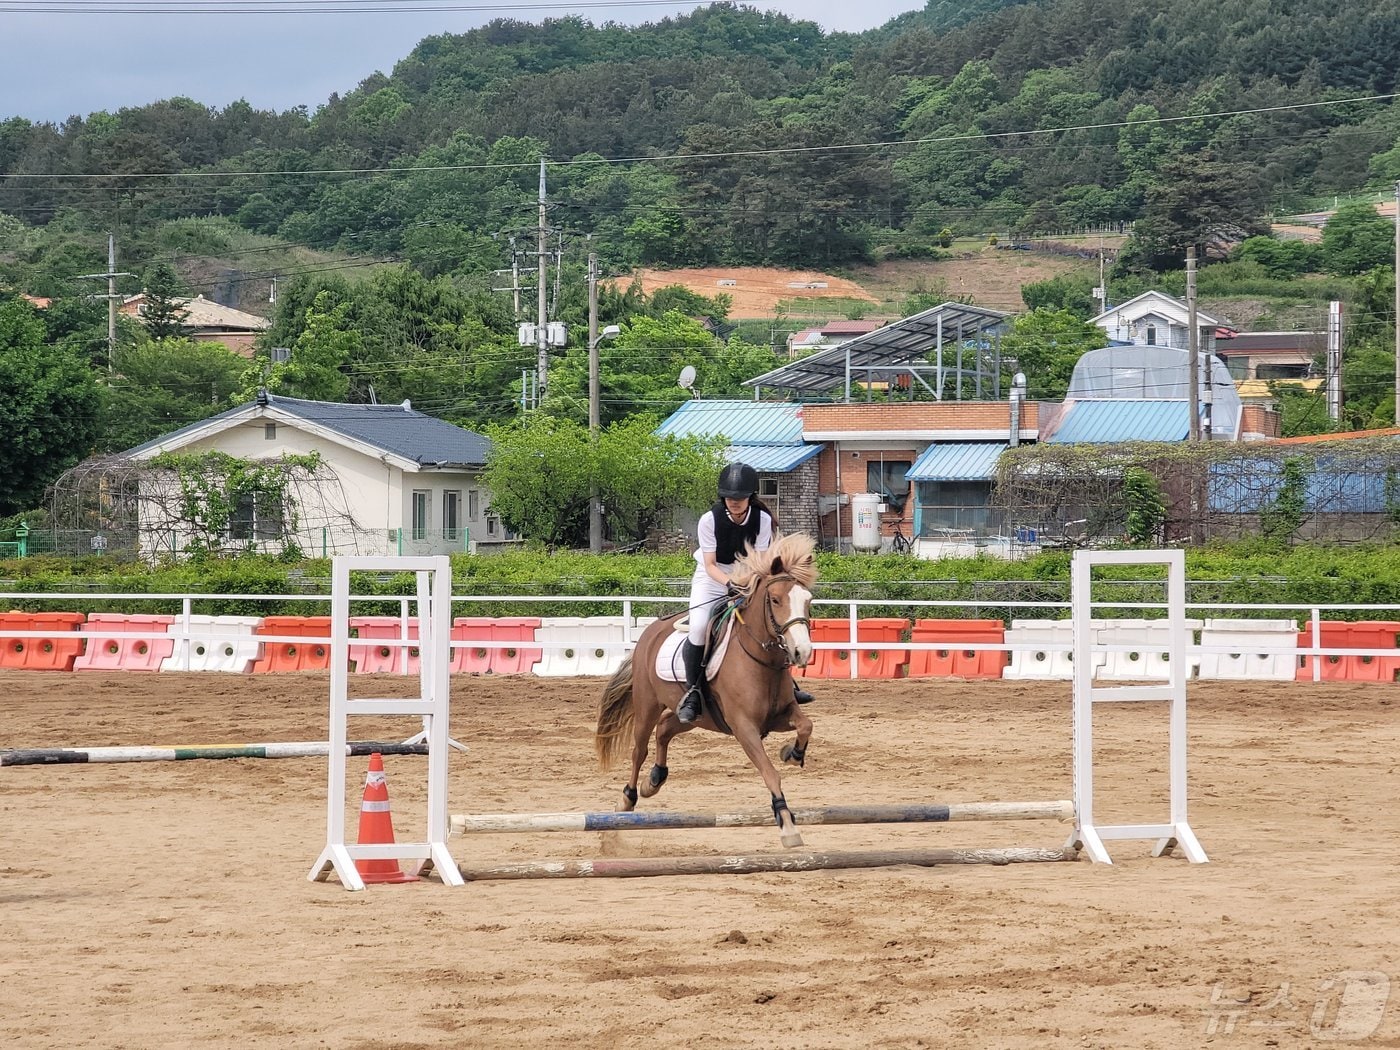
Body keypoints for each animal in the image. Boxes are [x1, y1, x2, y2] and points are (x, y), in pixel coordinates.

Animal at [593, 537, 817, 851]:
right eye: (775, 600)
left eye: (807, 601)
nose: (802, 652)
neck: (762, 661)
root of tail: (650, 631)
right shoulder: (744, 727)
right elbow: (770, 772)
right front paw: (786, 823)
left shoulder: (780, 715)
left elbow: (806, 725)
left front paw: (793, 753)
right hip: (647, 704)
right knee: (640, 749)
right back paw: (628, 799)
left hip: (696, 716)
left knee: (665, 728)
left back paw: (654, 780)